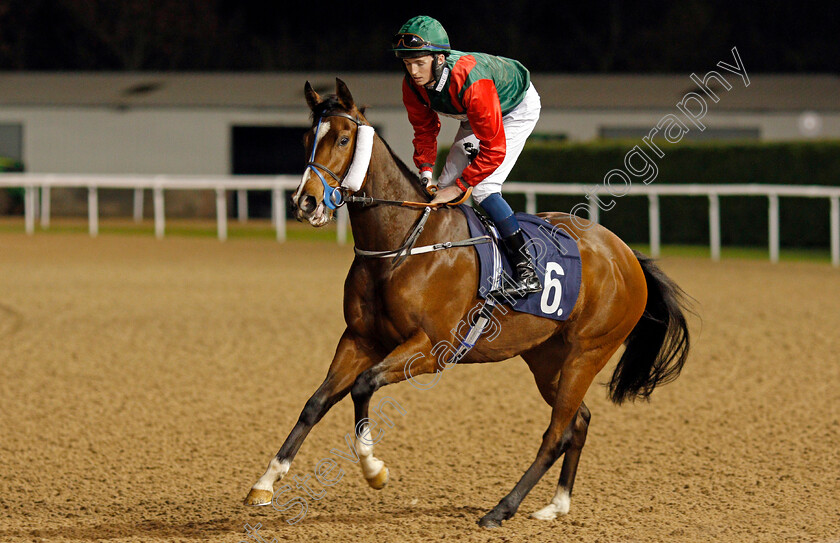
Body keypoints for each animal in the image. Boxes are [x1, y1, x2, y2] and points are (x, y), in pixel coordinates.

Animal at [243, 78, 688, 528]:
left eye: (343, 138)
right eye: (306, 139)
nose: (305, 202)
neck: (404, 243)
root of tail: (627, 256)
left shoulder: (432, 348)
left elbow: (364, 385)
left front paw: (374, 469)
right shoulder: (359, 338)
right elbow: (316, 402)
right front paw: (266, 482)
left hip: (588, 353)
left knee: (556, 433)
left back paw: (502, 508)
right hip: (547, 358)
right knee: (579, 422)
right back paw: (556, 504)